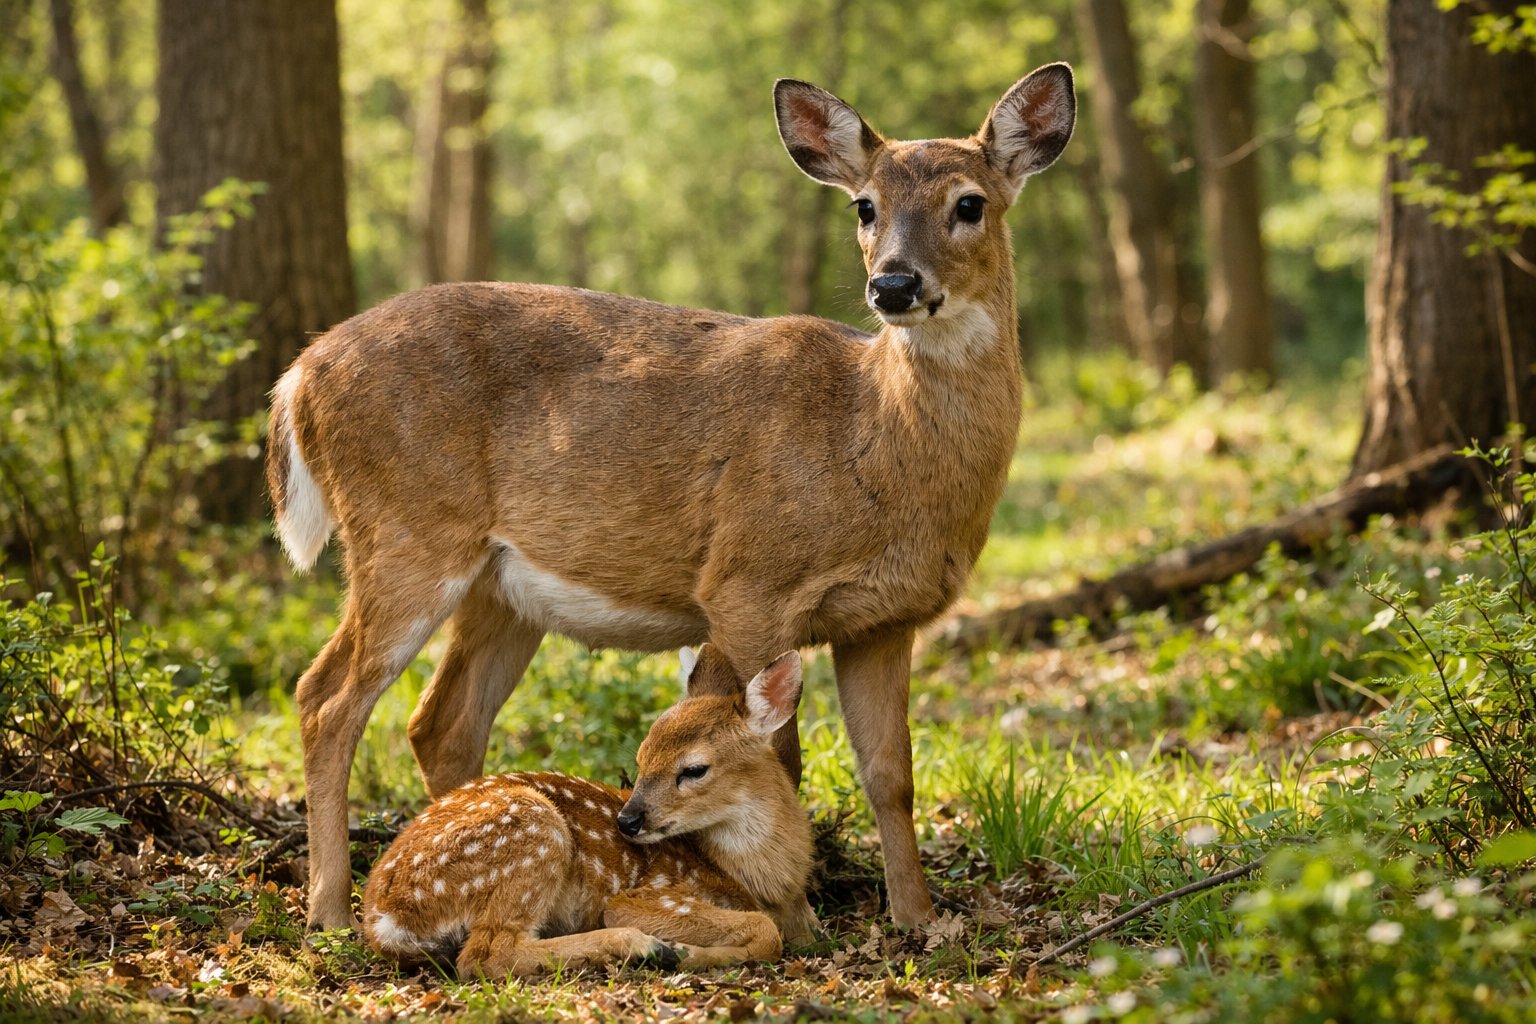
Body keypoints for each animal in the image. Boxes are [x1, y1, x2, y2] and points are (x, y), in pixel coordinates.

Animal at [269, 63, 1076, 934]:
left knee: (440, 722)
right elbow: (780, 754)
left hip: (501, 587)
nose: (893, 284)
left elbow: (892, 775)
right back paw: (329, 910)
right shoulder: (747, 583)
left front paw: (918, 919)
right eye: (865, 206)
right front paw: (798, 909)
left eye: (970, 203)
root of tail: (301, 373)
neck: (873, 442)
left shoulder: (887, 618)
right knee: (325, 698)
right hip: (404, 532)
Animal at [362, 646, 813, 978]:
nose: (627, 821)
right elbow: (765, 930)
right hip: (533, 829)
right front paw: (692, 953)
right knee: (486, 956)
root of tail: (386, 919)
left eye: (694, 769)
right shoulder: (649, 894)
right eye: (641, 759)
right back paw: (645, 947)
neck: (763, 878)